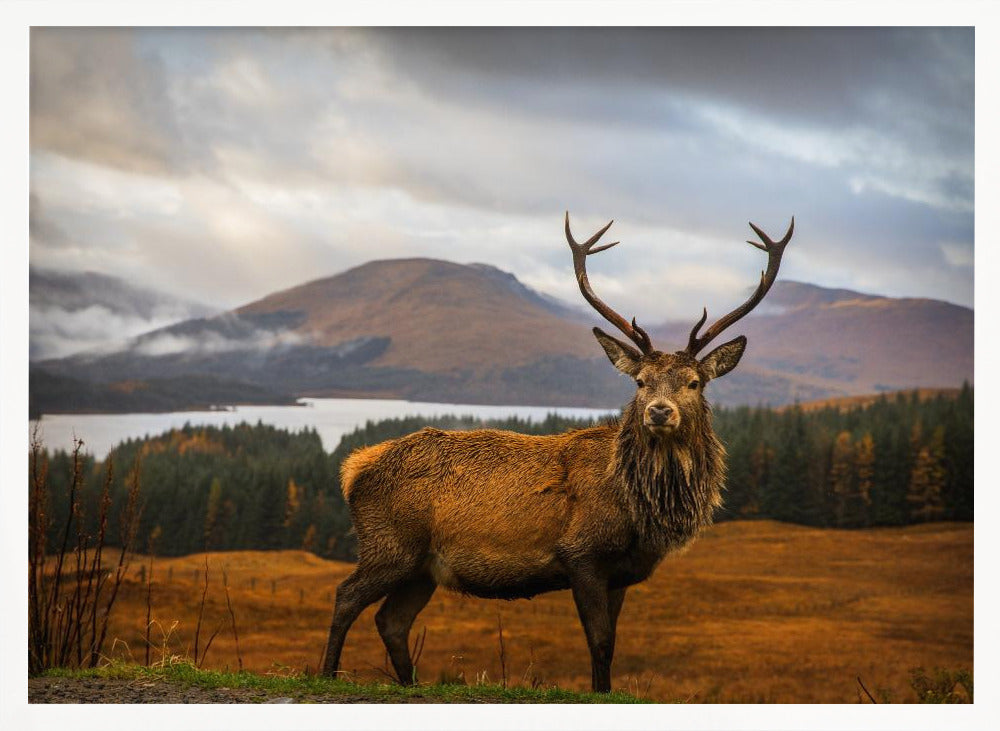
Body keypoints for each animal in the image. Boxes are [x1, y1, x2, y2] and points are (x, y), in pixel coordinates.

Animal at [321, 212, 795, 692]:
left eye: (694, 382)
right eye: (640, 381)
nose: (660, 411)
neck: (639, 511)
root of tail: (353, 467)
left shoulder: (621, 573)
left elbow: (612, 644)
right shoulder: (580, 554)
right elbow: (599, 642)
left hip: (422, 568)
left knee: (391, 621)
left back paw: (410, 685)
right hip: (389, 544)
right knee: (345, 597)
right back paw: (327, 673)